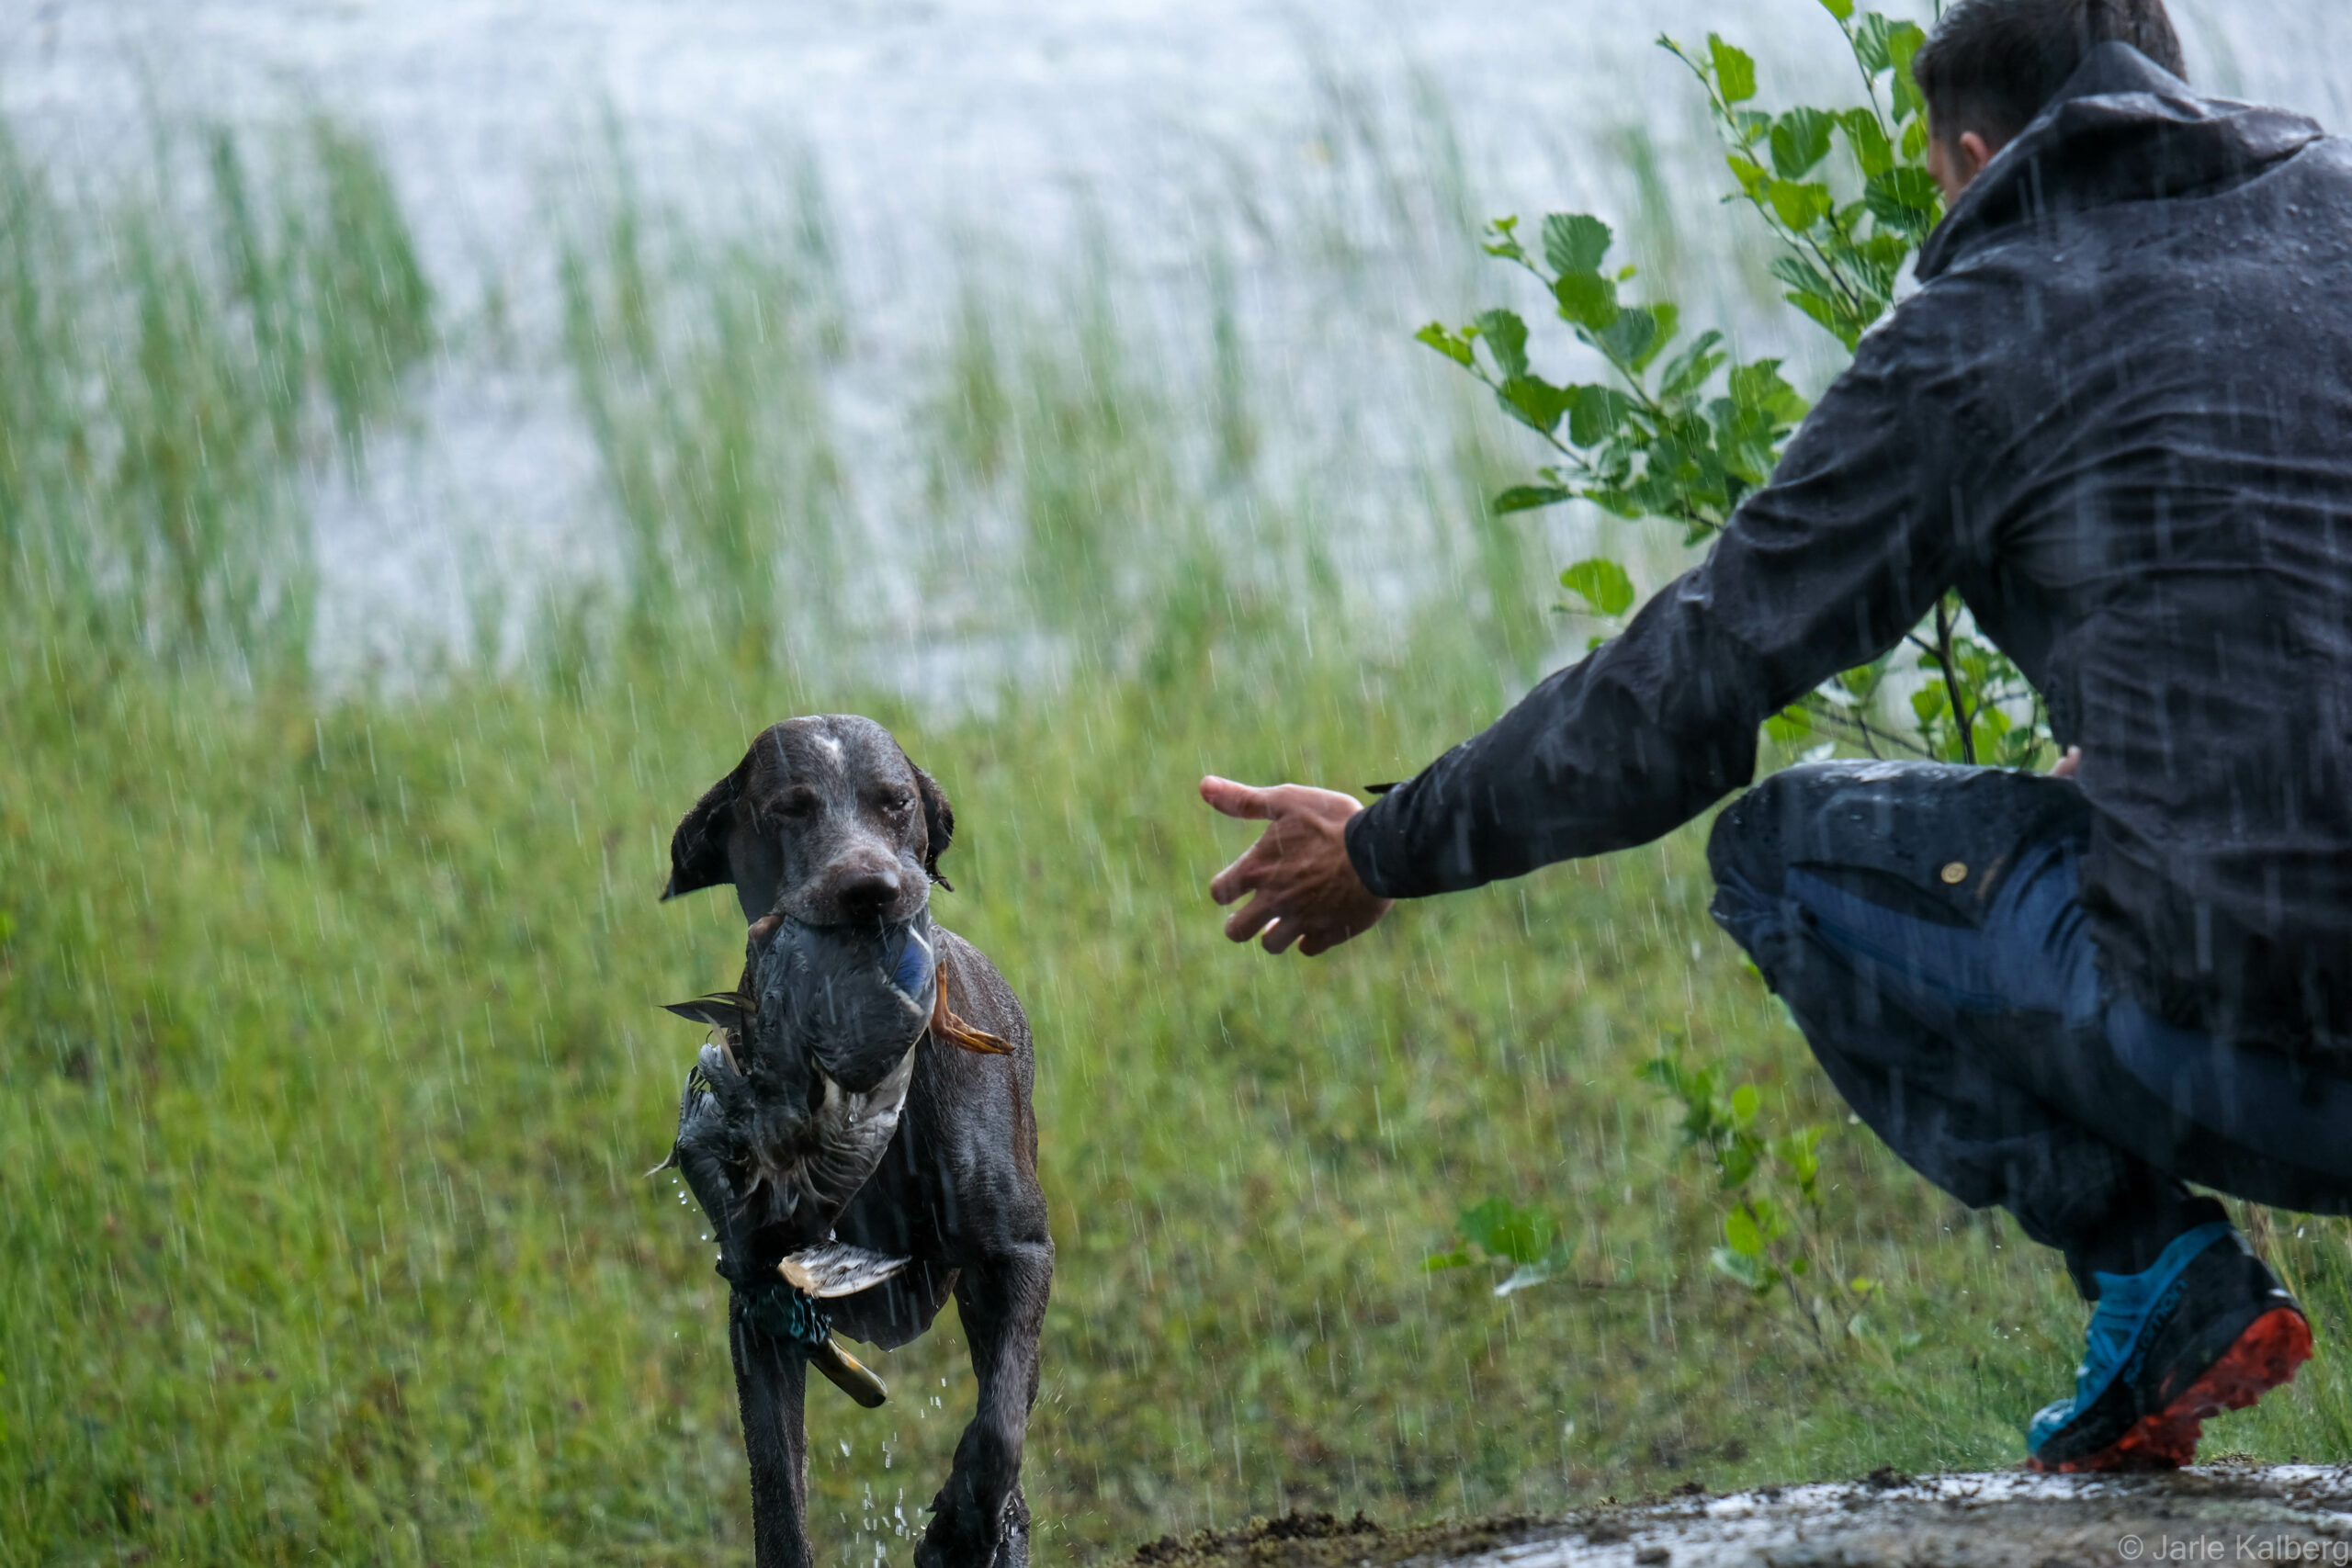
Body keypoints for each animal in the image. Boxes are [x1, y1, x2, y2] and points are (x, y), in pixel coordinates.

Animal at [658, 719, 1053, 1568]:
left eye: (894, 801)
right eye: (789, 807)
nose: (870, 888)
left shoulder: (1018, 1253)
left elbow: (999, 1428)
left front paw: (959, 1530)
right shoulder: (761, 1304)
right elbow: (777, 1486)